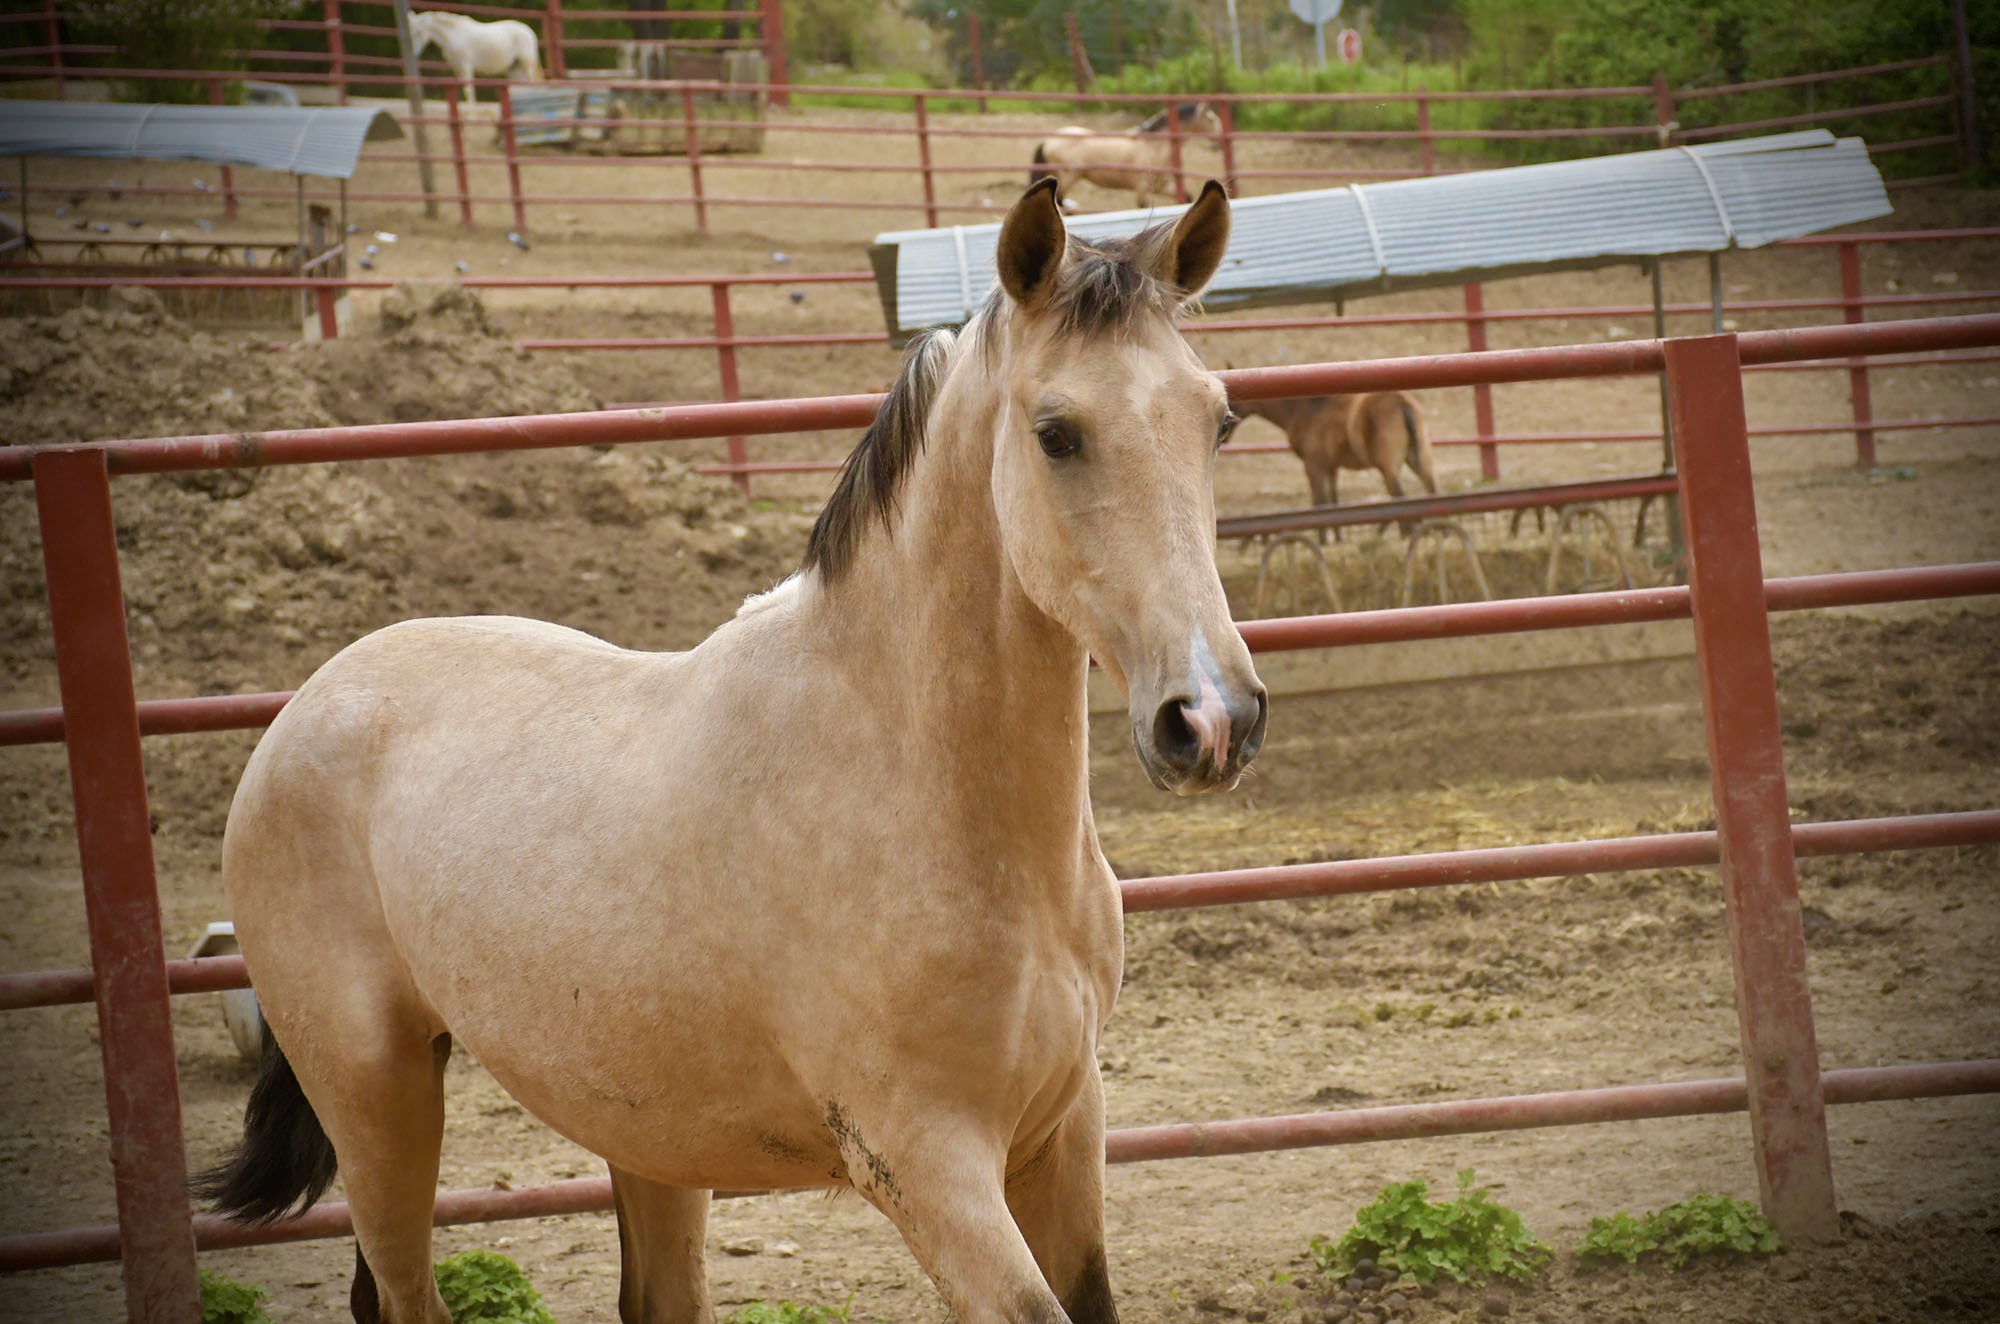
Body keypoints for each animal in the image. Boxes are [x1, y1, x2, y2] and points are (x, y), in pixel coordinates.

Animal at [406, 9, 540, 104]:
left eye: (419, 32)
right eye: (410, 32)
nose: (414, 53)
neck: (454, 35)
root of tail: (529, 32)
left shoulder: (466, 66)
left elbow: (468, 90)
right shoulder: (457, 68)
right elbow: (466, 90)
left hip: (525, 65)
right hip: (514, 68)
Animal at [1040, 102, 1224, 210]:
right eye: (1210, 119)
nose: (1219, 141)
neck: (1153, 146)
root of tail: (1048, 141)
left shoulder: (1160, 186)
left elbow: (1187, 197)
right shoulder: (1142, 187)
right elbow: (1144, 207)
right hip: (1069, 178)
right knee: (1060, 200)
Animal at [1232, 392, 1440, 516]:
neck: (1305, 408)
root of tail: (1401, 401)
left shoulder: (1313, 466)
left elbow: (1319, 502)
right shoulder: (1331, 467)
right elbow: (1333, 502)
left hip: (1389, 469)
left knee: (1400, 498)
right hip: (1420, 461)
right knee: (1432, 492)